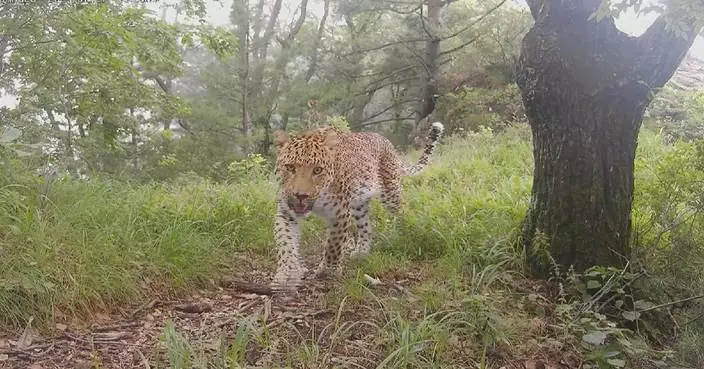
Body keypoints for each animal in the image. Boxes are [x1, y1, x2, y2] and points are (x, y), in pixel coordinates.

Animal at [270, 122, 442, 288]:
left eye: (318, 170)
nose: (301, 196)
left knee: (404, 210)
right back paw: (361, 252)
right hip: (359, 206)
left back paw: (408, 233)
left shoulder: (339, 212)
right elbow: (285, 242)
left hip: (391, 192)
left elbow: (334, 244)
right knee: (366, 228)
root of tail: (388, 143)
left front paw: (328, 270)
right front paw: (287, 273)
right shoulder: (286, 212)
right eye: (290, 167)